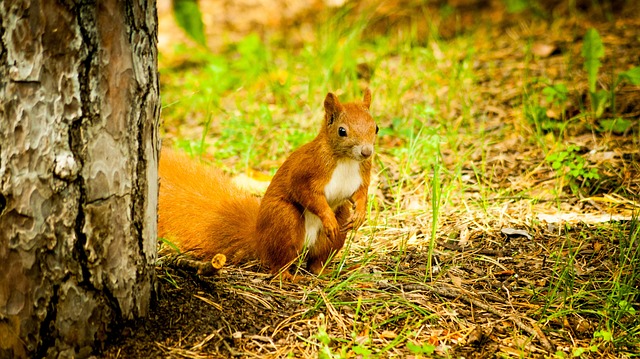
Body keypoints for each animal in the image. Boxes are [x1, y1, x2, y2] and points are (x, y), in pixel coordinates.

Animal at [159, 90, 378, 278]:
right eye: (342, 131)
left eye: (375, 128)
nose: (367, 152)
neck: (346, 161)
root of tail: (259, 239)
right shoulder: (307, 170)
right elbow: (307, 194)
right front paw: (328, 218)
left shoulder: (362, 174)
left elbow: (361, 193)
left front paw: (360, 215)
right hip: (284, 220)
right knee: (279, 263)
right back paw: (288, 277)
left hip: (335, 229)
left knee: (317, 260)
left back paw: (324, 273)